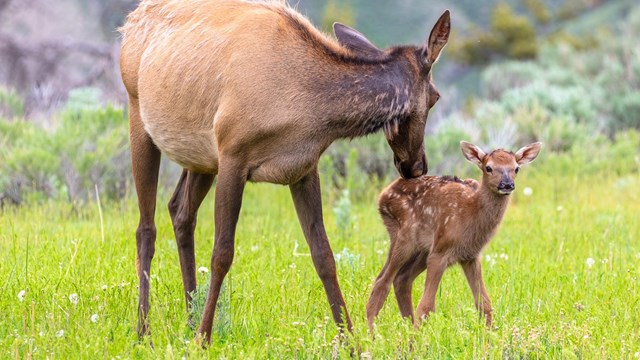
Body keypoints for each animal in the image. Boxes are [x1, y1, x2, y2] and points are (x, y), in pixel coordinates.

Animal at [119, 0, 450, 344]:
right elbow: (222, 254)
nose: (417, 166)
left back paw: (189, 318)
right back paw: (144, 330)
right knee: (146, 228)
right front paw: (204, 339)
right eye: (435, 97)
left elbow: (324, 255)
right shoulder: (233, 154)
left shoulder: (303, 168)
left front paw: (350, 341)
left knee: (180, 210)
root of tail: (130, 21)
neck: (309, 110)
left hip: (201, 156)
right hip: (139, 113)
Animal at [368, 140, 544, 330]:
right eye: (488, 167)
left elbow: (484, 303)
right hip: (405, 237)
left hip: (422, 249)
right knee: (382, 282)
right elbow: (426, 306)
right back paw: (371, 333)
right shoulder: (440, 252)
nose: (507, 184)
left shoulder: (471, 256)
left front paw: (490, 336)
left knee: (401, 279)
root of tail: (383, 196)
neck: (470, 214)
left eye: (516, 168)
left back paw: (406, 328)